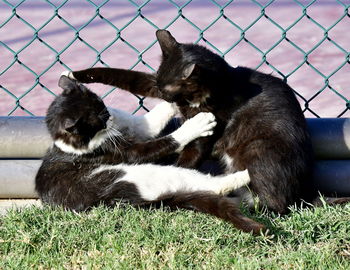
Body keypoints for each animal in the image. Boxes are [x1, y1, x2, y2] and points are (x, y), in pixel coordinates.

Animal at [35, 75, 266, 234]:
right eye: (97, 118)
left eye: (102, 105)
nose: (109, 116)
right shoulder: (125, 152)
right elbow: (162, 143)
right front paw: (197, 124)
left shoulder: (135, 126)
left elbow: (149, 121)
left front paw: (174, 97)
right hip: (138, 175)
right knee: (211, 186)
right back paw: (244, 176)